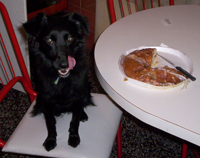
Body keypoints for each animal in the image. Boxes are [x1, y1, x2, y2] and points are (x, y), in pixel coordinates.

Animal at [23, 12, 94, 151]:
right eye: (49, 41)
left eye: (70, 38)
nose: (64, 65)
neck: (61, 79)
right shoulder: (46, 99)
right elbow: (50, 123)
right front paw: (51, 140)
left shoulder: (78, 96)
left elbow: (74, 121)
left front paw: (74, 137)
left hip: (86, 88)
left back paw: (83, 115)